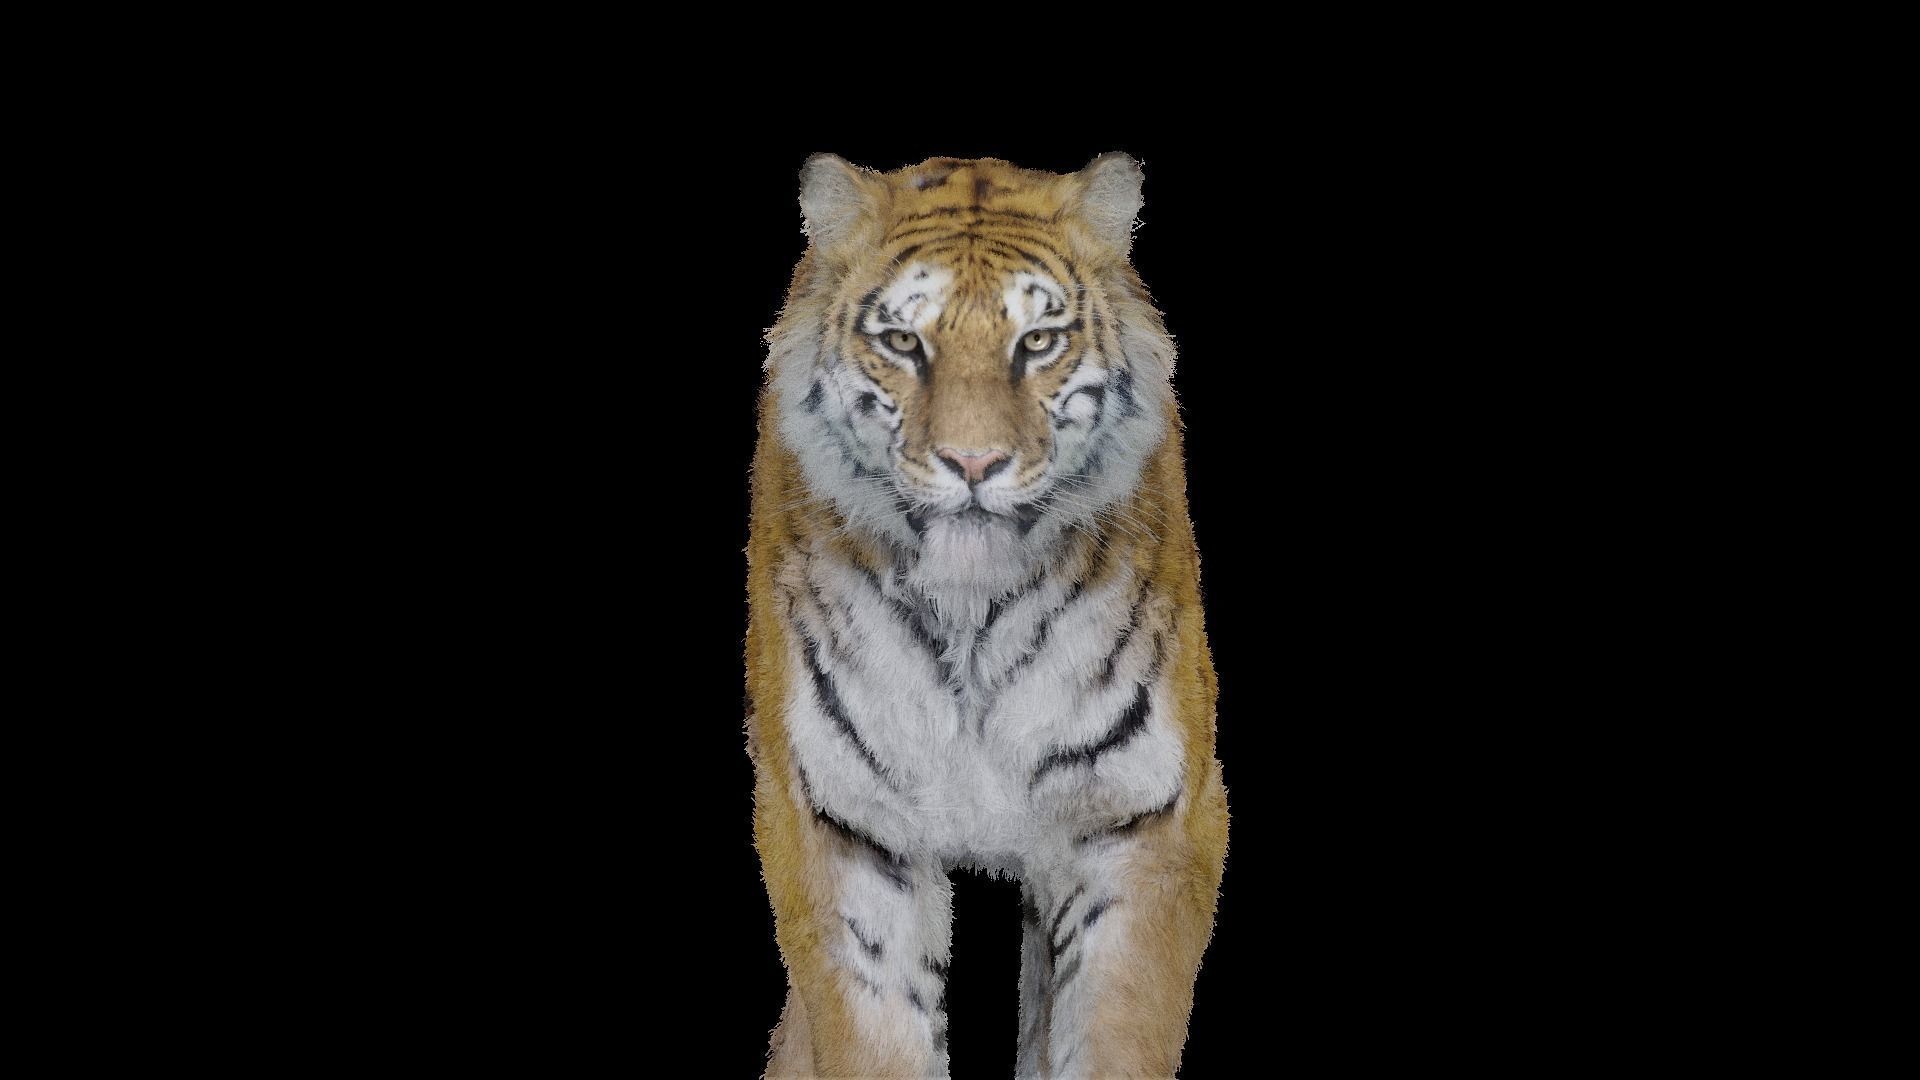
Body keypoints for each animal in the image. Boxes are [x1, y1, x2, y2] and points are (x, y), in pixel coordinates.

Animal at [746, 153, 1228, 1079]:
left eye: (1037, 342)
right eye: (904, 342)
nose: (973, 463)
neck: (970, 614)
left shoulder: (1140, 820)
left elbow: (1114, 1029)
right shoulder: (845, 828)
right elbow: (873, 1034)